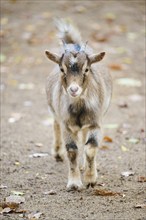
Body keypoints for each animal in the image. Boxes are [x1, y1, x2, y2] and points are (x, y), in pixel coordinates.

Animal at [45, 20, 112, 191]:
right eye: (62, 69)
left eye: (86, 69)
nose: (74, 90)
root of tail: (73, 43)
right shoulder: (67, 124)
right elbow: (72, 150)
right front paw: (74, 184)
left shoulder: (96, 122)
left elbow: (91, 148)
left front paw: (90, 180)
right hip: (54, 110)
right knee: (56, 124)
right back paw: (57, 153)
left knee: (83, 137)